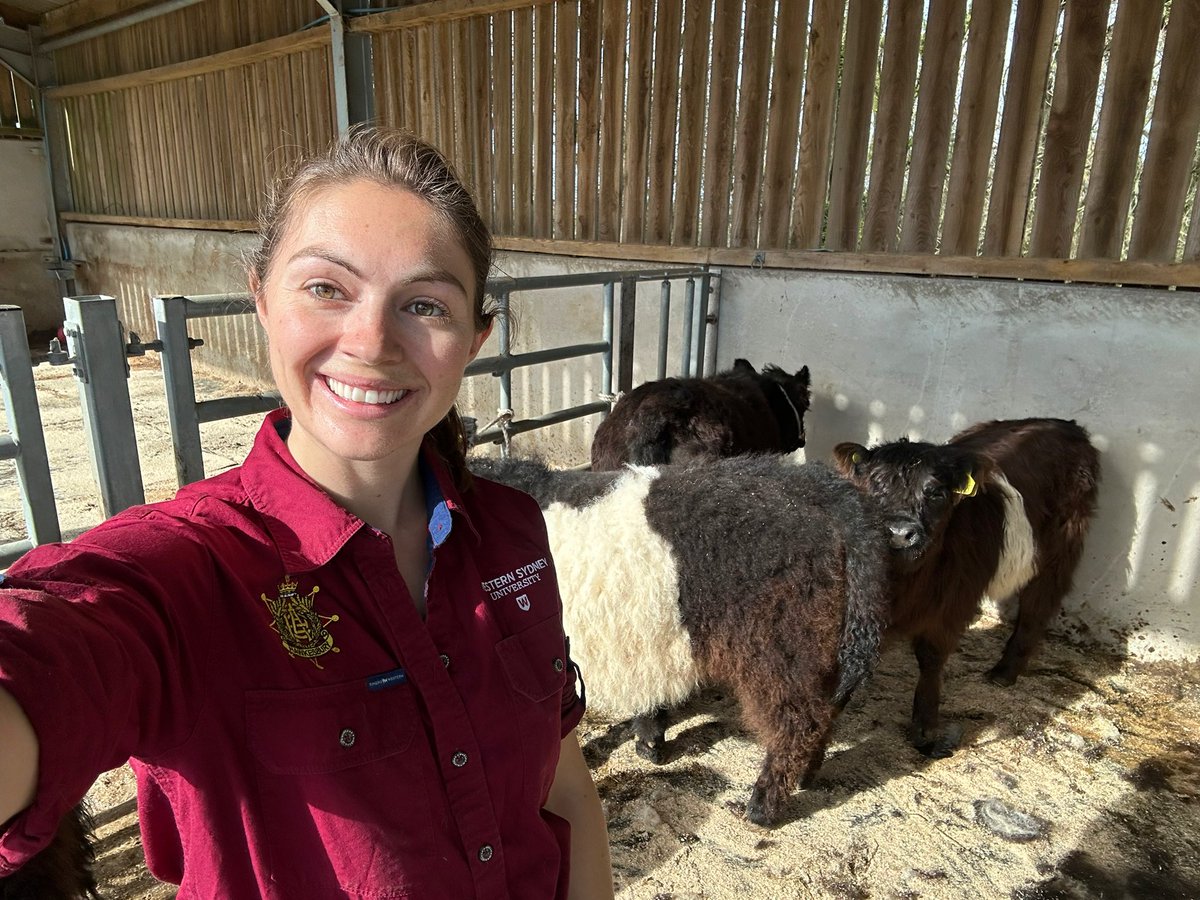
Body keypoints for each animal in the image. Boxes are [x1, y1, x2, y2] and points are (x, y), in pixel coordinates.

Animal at [468, 453, 892, 830]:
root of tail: (817, 487)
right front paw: (651, 743)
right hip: (822, 650)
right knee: (827, 712)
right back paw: (807, 775)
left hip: (779, 648)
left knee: (799, 723)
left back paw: (762, 807)